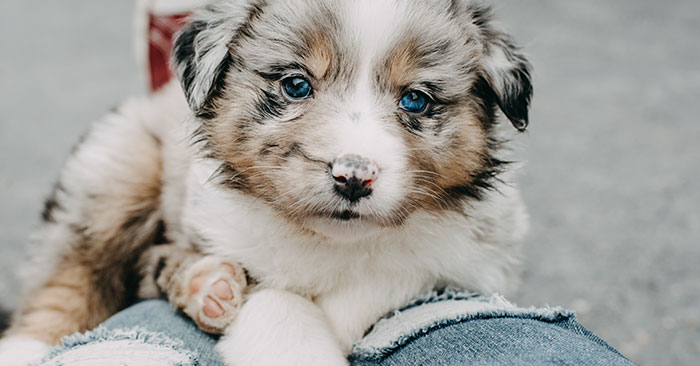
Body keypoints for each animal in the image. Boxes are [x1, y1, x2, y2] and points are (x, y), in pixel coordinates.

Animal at [0, 0, 532, 364]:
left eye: (416, 100)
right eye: (296, 85)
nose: (353, 177)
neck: (331, 242)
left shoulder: (480, 252)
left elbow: (399, 269)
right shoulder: (223, 225)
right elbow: (277, 302)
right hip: (115, 166)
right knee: (67, 279)